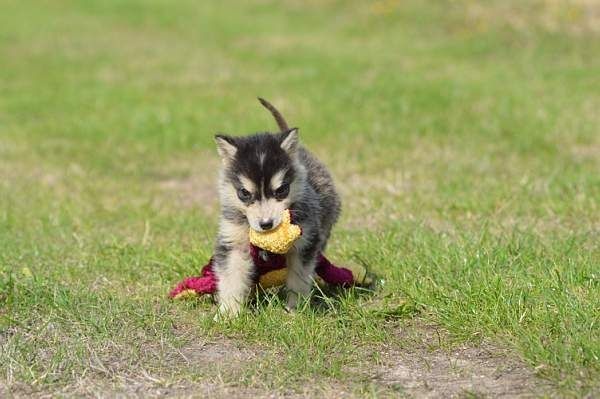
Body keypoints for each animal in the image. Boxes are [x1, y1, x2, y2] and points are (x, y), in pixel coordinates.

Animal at [213, 98, 340, 318]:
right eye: (244, 193)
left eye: (281, 190)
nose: (266, 224)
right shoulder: (233, 242)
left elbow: (298, 279)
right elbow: (231, 278)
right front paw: (228, 313)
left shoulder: (304, 242)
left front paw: (295, 309)